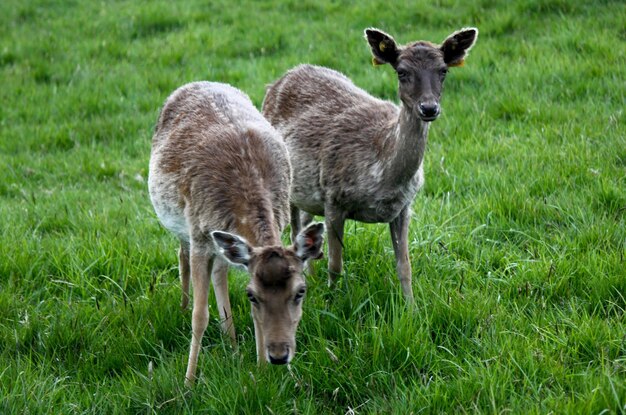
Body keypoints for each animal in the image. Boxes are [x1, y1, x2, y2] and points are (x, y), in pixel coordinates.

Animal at [146, 81, 322, 386]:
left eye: (301, 291)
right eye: (252, 295)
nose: (279, 355)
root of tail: (196, 83)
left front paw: (266, 370)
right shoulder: (200, 236)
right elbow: (199, 315)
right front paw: (188, 382)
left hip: (221, 244)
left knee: (220, 271)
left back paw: (233, 344)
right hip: (182, 226)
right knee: (181, 255)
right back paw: (183, 308)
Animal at [260, 28, 476, 302]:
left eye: (443, 70)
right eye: (401, 71)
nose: (429, 108)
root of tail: (277, 81)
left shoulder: (404, 206)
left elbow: (405, 266)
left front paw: (412, 306)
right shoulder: (333, 196)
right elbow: (336, 265)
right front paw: (333, 301)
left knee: (306, 227)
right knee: (294, 229)